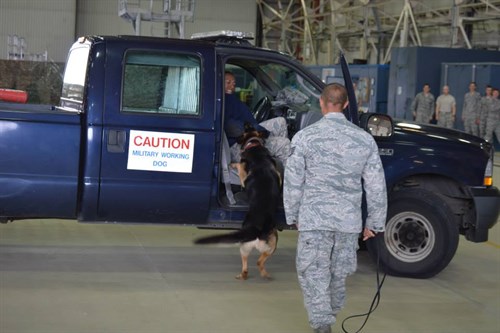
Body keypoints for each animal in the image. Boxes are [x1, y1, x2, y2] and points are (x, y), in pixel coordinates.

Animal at [194, 123, 282, 278]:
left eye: (245, 129)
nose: (246, 122)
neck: (254, 145)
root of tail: (257, 230)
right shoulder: (277, 173)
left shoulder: (243, 174)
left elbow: (239, 166)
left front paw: (233, 165)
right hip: (272, 244)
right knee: (259, 262)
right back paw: (264, 274)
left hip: (245, 246)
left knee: (247, 266)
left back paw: (242, 275)